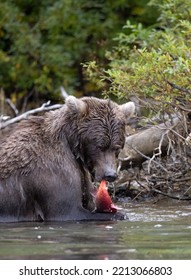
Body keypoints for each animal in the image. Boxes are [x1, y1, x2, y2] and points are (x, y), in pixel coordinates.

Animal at [0, 96, 134, 221]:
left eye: (116, 148)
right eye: (100, 146)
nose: (110, 175)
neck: (71, 145)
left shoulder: (81, 172)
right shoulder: (55, 171)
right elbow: (68, 210)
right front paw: (121, 214)